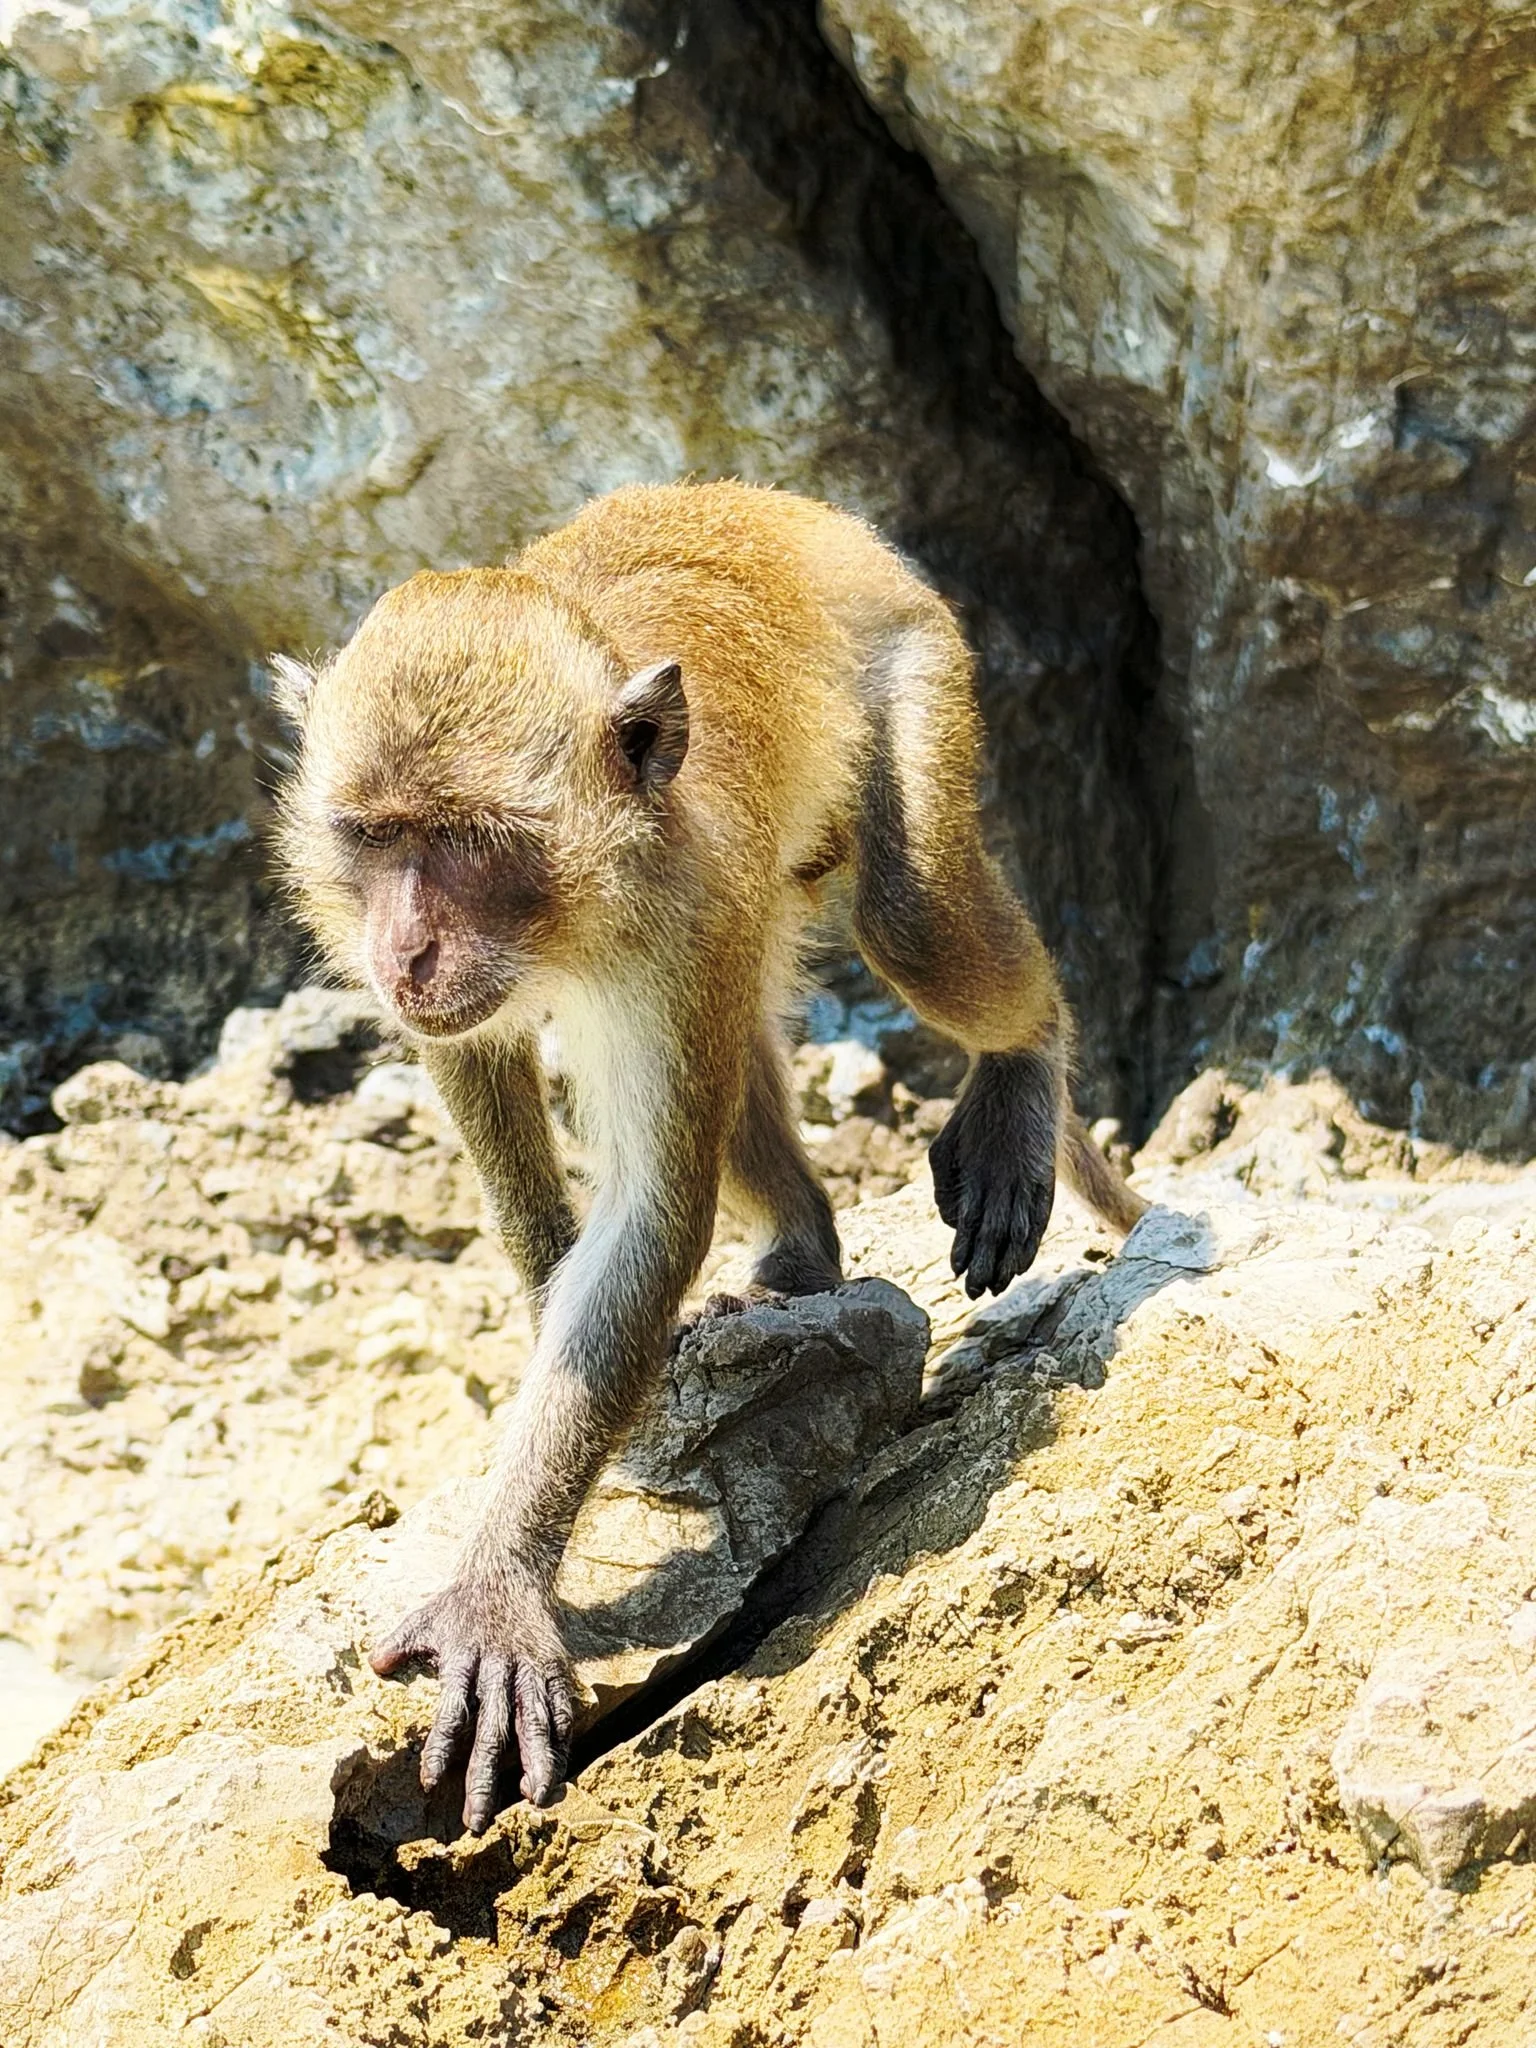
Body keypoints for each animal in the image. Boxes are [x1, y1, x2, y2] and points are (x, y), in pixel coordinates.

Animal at [274, 479, 1147, 1833]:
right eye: (372, 835)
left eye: (469, 837)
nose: (404, 951)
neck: (577, 907)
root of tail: (786, 508)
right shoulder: (515, 981)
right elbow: (490, 1086)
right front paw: (565, 1336)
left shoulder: (679, 923)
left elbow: (649, 1213)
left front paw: (501, 1582)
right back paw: (804, 1252)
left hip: (917, 666)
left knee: (911, 916)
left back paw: (1023, 1067)